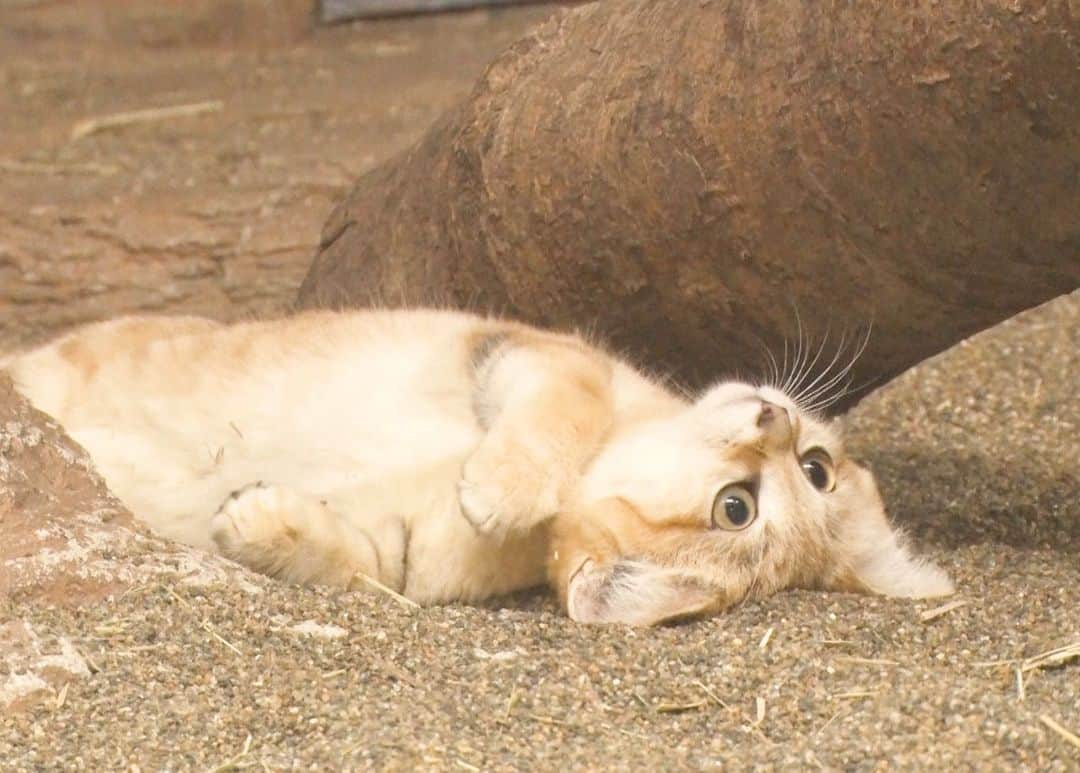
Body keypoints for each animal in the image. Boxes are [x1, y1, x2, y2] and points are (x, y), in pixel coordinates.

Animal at [0, 310, 950, 626]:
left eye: (736, 511)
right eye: (816, 470)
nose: (775, 416)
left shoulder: (406, 559)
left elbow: (354, 561)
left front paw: (257, 518)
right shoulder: (528, 350)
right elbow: (565, 403)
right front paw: (504, 486)